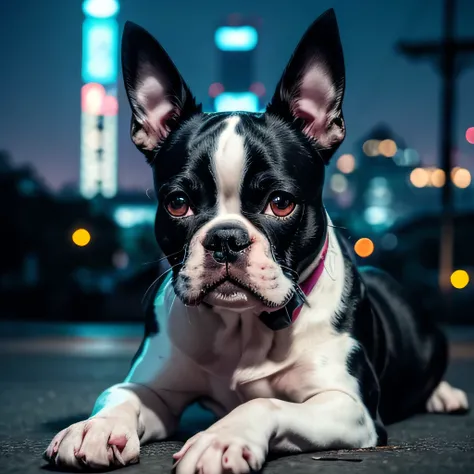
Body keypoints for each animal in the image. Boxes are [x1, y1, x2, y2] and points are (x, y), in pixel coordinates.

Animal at [43, 8, 466, 474]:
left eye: (280, 203)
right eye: (177, 204)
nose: (226, 239)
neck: (243, 326)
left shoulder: (349, 405)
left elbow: (264, 403)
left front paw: (221, 437)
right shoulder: (156, 391)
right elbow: (121, 393)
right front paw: (94, 427)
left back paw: (445, 394)